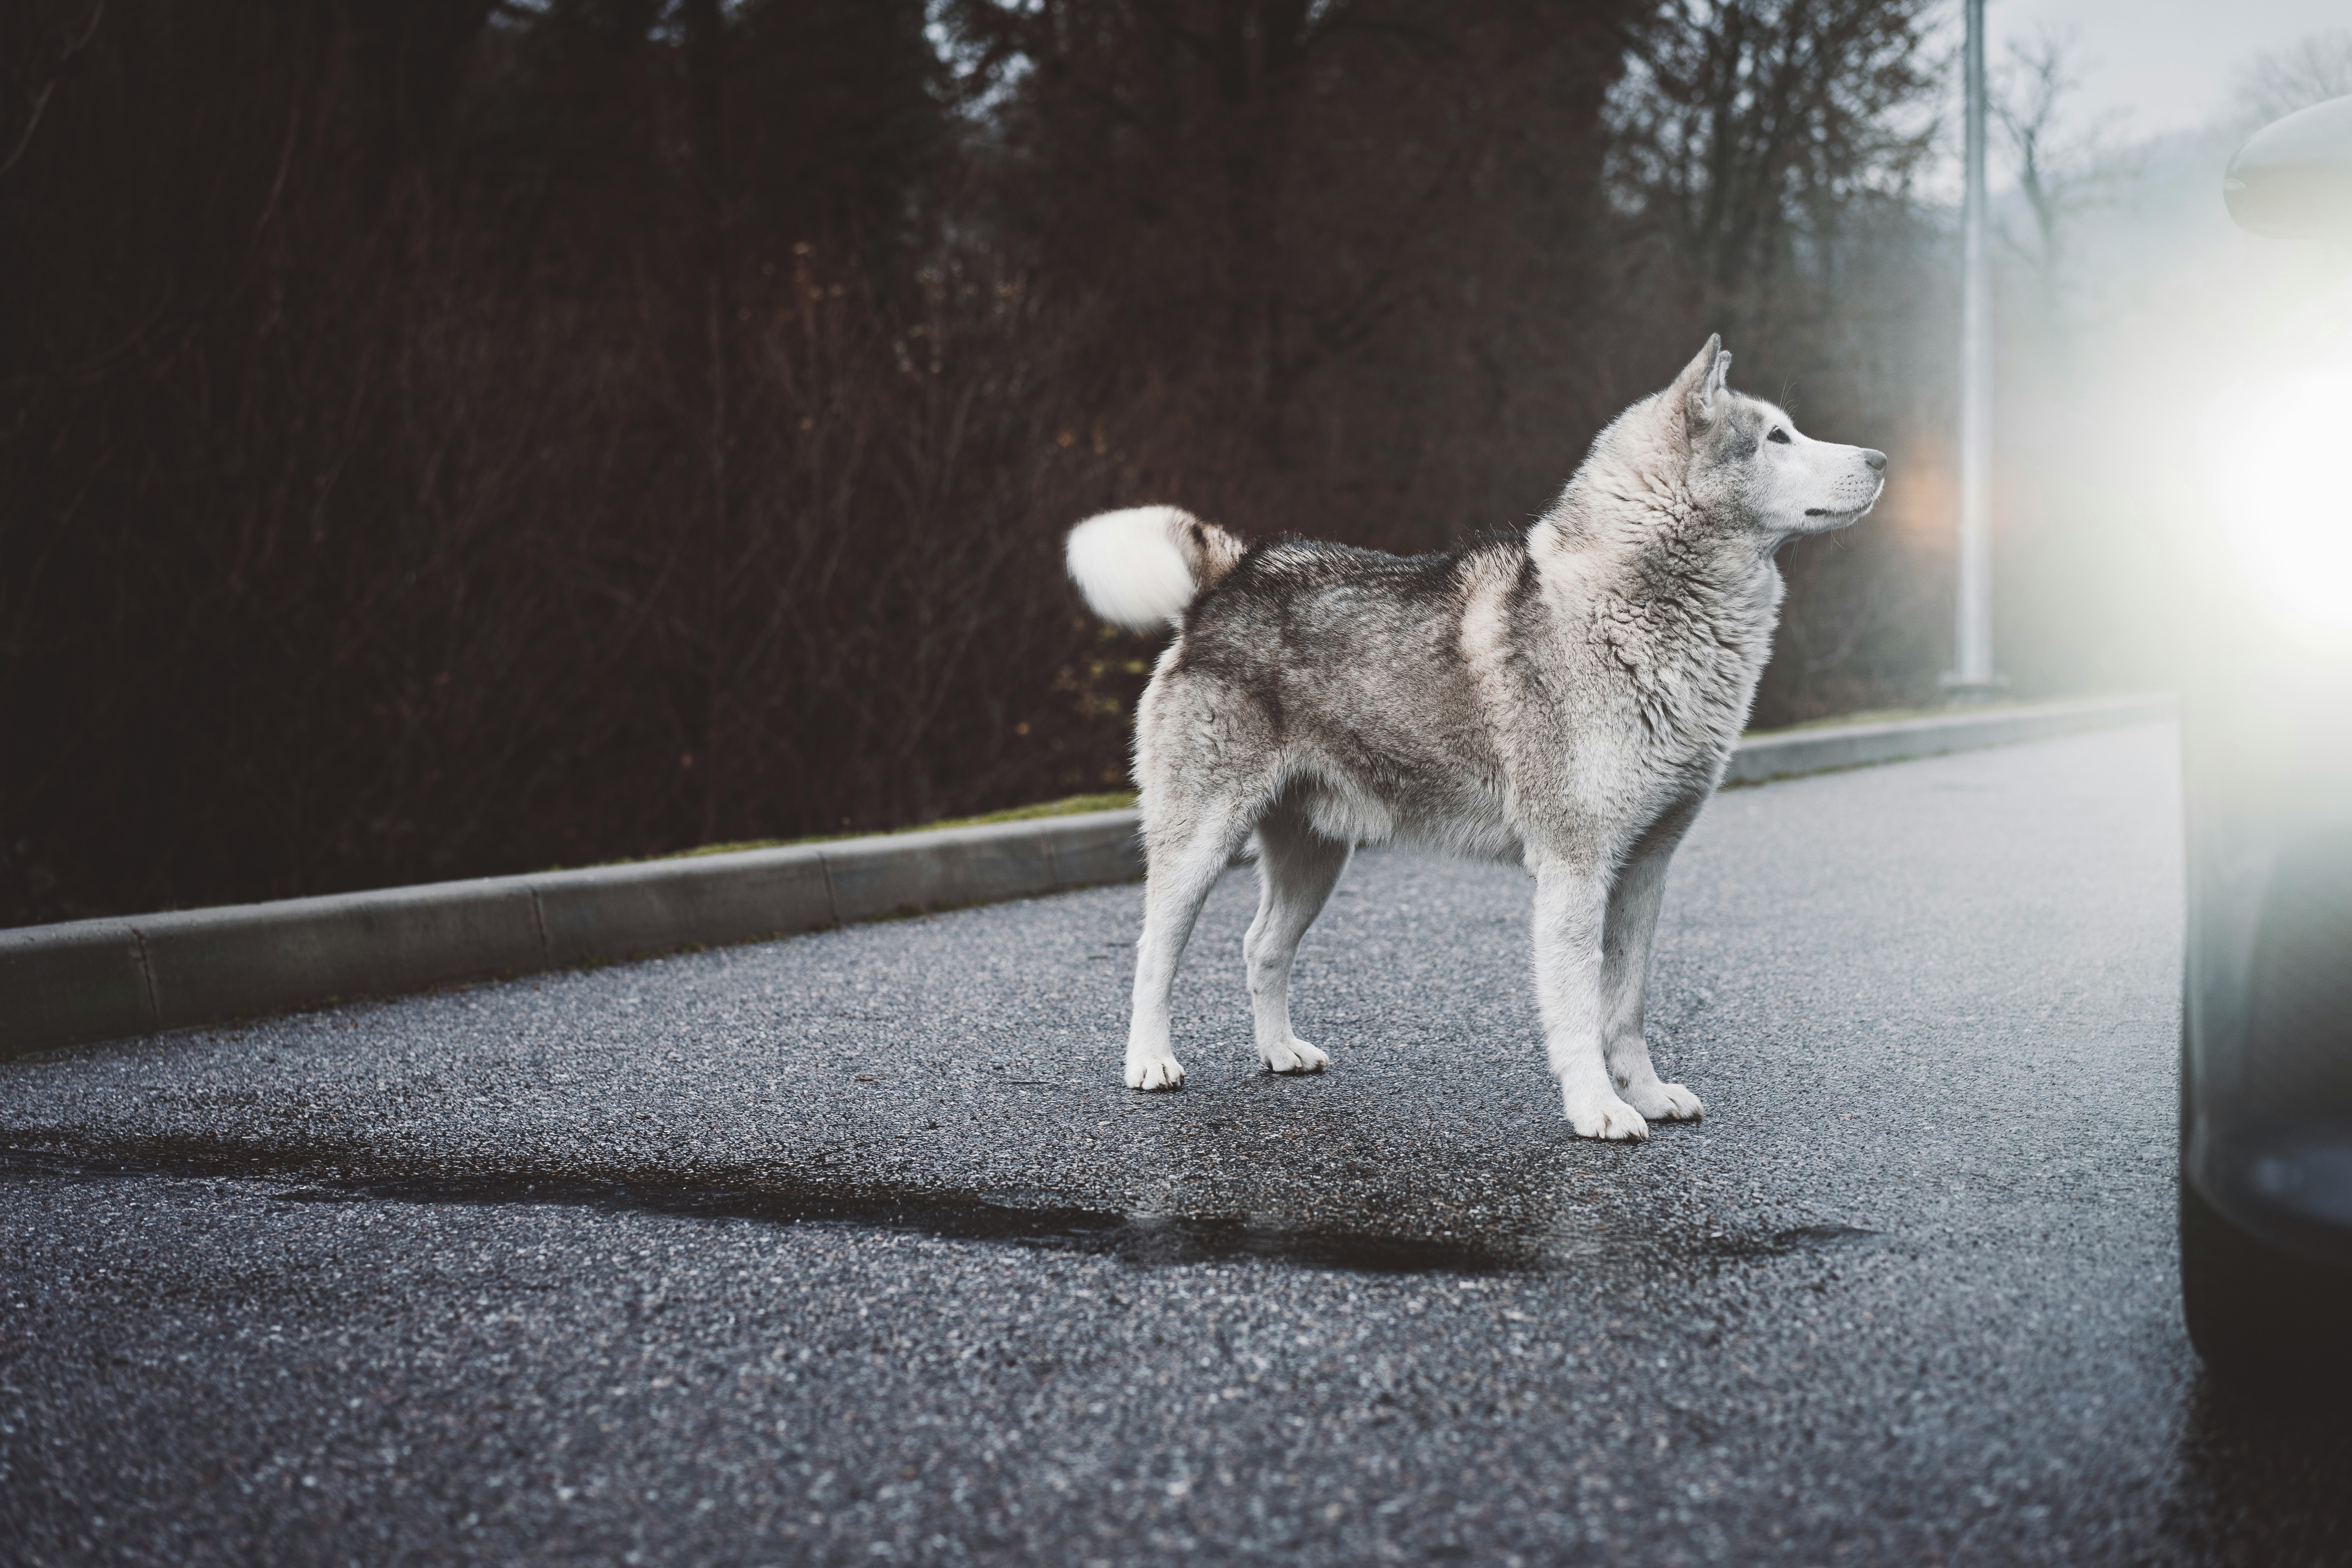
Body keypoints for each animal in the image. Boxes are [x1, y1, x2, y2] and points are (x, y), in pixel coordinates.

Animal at [1068, 338, 1891, 1142]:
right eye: (1777, 438)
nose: (1882, 459)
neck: (1635, 609)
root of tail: (1232, 575)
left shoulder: (1644, 872)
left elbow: (1625, 1009)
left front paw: (1648, 1096)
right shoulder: (1574, 871)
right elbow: (1578, 1013)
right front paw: (1598, 1110)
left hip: (1316, 858)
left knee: (1260, 947)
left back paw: (1278, 1052)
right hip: (1199, 847)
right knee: (1154, 955)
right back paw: (1149, 1063)